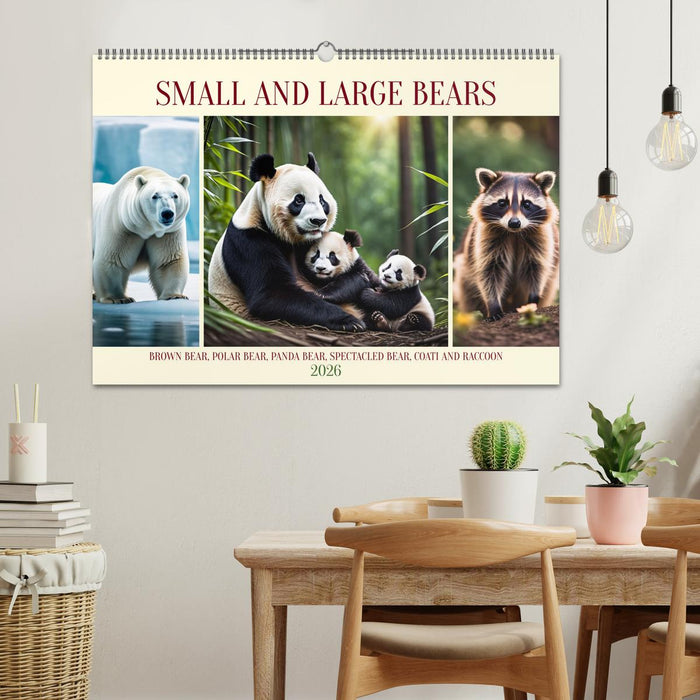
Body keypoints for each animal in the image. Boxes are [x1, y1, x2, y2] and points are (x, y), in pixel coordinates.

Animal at [92, 166, 191, 304]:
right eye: (154, 196)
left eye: (175, 195)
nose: (167, 213)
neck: (146, 227)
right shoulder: (122, 226)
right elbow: (112, 259)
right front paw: (119, 298)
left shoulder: (169, 232)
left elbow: (168, 261)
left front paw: (174, 295)